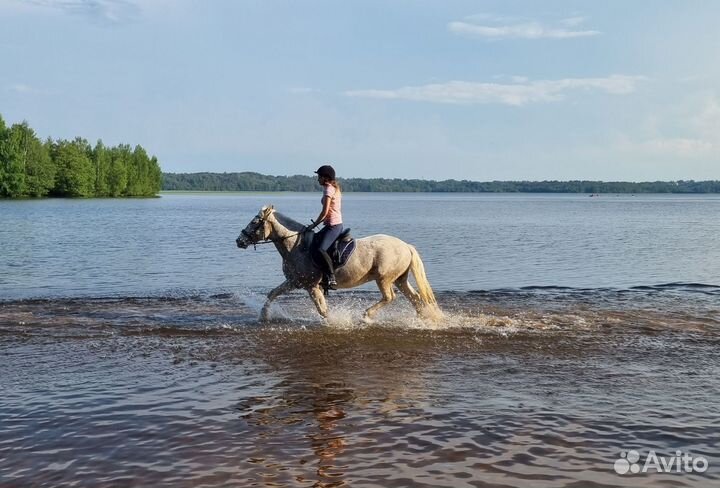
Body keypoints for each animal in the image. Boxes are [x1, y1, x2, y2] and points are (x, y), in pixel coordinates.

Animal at [235, 205, 442, 322]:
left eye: (254, 222)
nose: (239, 241)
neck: (297, 246)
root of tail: (406, 246)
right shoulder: (295, 282)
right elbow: (272, 294)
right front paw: (263, 316)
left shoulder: (311, 286)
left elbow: (322, 309)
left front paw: (333, 322)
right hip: (400, 278)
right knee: (415, 297)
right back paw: (423, 319)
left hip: (384, 278)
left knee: (390, 297)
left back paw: (367, 316)